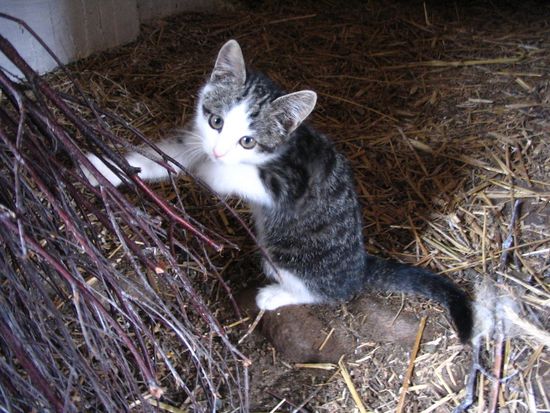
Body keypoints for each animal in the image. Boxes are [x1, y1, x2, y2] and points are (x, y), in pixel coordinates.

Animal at [84, 39, 476, 342]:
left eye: (248, 141)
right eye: (216, 121)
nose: (218, 151)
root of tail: (359, 266)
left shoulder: (290, 183)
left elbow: (229, 175)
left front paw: (209, 169)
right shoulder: (194, 138)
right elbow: (164, 158)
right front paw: (102, 168)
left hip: (289, 247)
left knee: (328, 291)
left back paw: (276, 295)